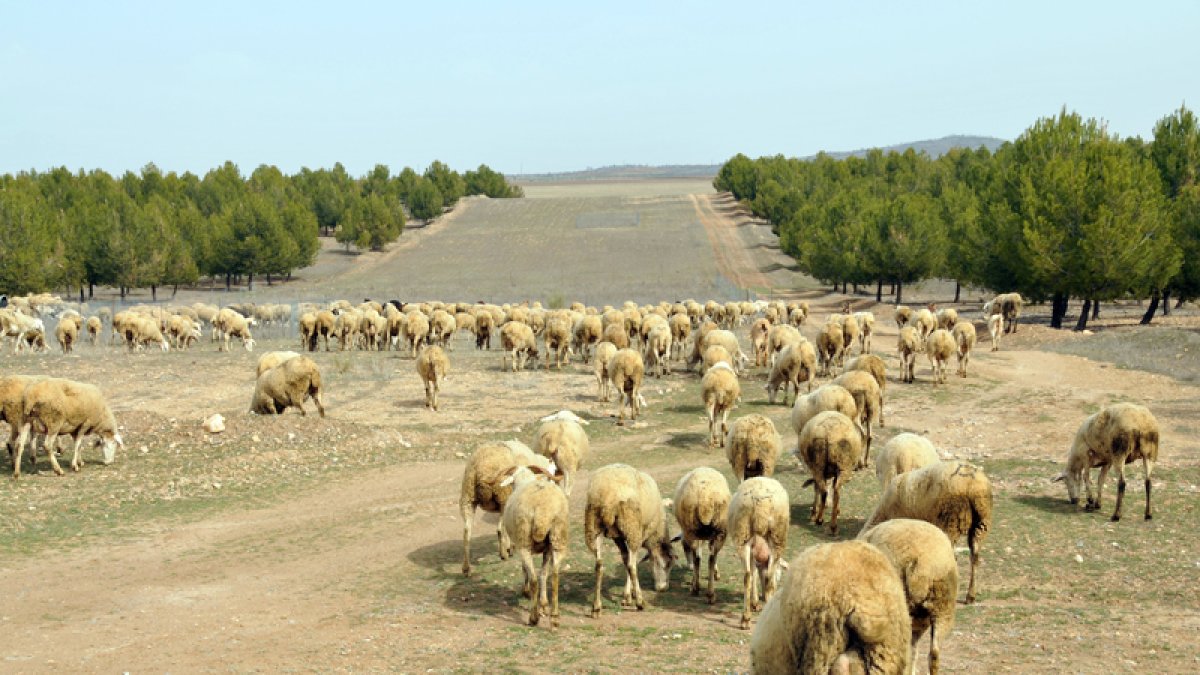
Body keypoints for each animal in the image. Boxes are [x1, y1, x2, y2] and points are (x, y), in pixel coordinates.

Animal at [459, 442, 554, 575]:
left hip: (467, 497)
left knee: (467, 531)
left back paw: (466, 568)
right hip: (502, 498)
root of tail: (483, 468)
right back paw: (503, 554)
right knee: (499, 529)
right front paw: (510, 547)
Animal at [500, 465, 569, 627]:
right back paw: (554, 617)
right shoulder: (547, 550)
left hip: (524, 540)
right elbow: (544, 573)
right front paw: (544, 605)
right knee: (554, 576)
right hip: (557, 537)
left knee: (534, 580)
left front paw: (526, 593)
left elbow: (525, 569)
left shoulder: (520, 544)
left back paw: (533, 617)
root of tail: (541, 510)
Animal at [584, 463, 677, 616]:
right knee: (632, 566)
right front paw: (629, 596)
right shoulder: (641, 533)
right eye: (668, 564)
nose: (663, 589)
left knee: (599, 565)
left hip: (593, 527)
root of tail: (608, 494)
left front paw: (627, 595)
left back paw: (596, 607)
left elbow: (625, 559)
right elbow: (629, 563)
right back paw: (640, 602)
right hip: (631, 527)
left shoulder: (618, 538)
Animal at [672, 467, 731, 604]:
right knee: (711, 558)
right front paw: (716, 574)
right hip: (721, 531)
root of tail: (705, 498)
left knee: (698, 559)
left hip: (691, 530)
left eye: (684, 547)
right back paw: (710, 594)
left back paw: (696, 588)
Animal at [727, 476, 790, 629]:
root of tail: (761, 500)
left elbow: (754, 573)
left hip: (743, 536)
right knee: (766, 578)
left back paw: (745, 618)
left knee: (748, 576)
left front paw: (755, 603)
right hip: (777, 538)